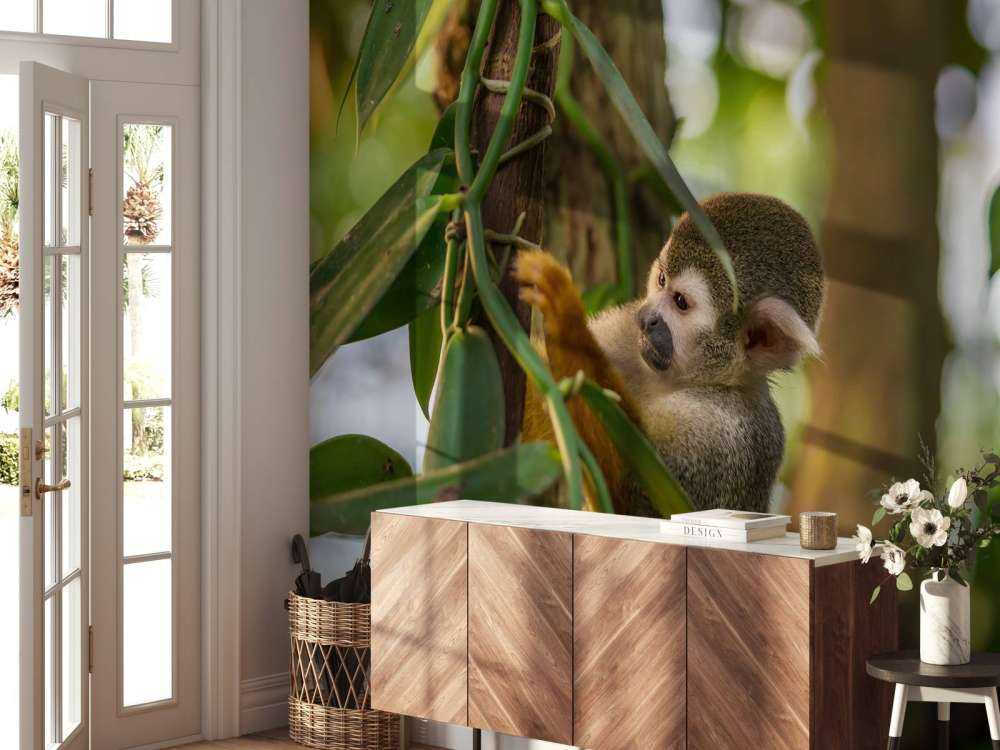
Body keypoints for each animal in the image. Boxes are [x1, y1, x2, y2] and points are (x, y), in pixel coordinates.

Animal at [516, 192, 825, 515]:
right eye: (662, 280)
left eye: (680, 302)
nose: (647, 318)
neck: (689, 379)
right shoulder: (626, 330)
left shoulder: (728, 436)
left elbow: (637, 502)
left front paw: (563, 312)